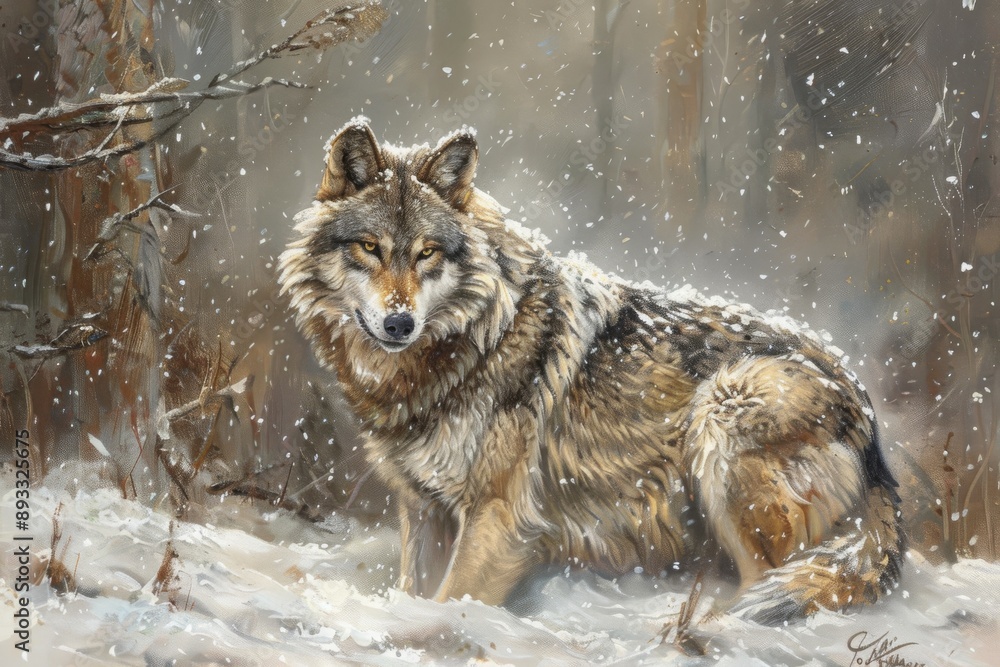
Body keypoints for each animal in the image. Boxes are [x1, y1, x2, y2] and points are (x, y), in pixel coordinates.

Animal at [277, 117, 904, 624]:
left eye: (428, 252)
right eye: (369, 247)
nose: (399, 323)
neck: (464, 349)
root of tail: (865, 409)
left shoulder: (498, 519)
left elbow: (451, 600)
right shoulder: (424, 509)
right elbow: (414, 591)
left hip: (724, 414)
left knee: (771, 582)